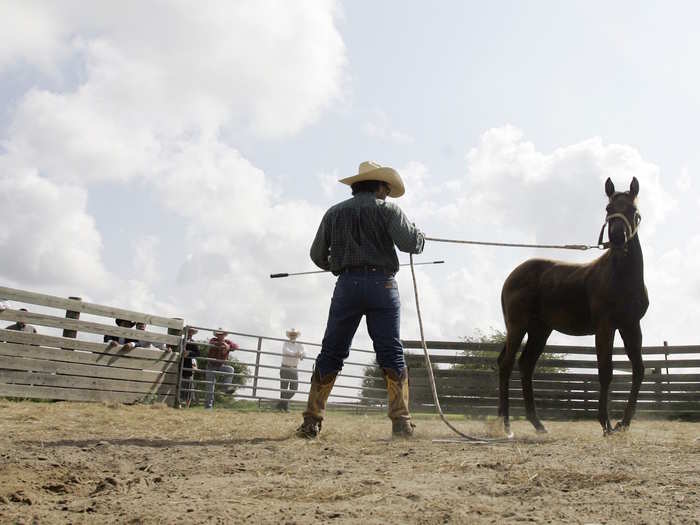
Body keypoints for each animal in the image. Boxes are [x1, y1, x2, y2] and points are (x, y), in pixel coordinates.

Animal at [500, 178, 648, 436]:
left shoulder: (630, 325)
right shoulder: (605, 327)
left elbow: (638, 369)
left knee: (525, 365)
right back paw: (507, 425)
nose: (617, 238)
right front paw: (605, 423)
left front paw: (623, 422)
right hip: (517, 327)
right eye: (608, 208)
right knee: (507, 364)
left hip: (540, 330)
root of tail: (511, 277)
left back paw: (537, 424)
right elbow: (605, 371)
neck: (621, 277)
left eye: (633, 210)